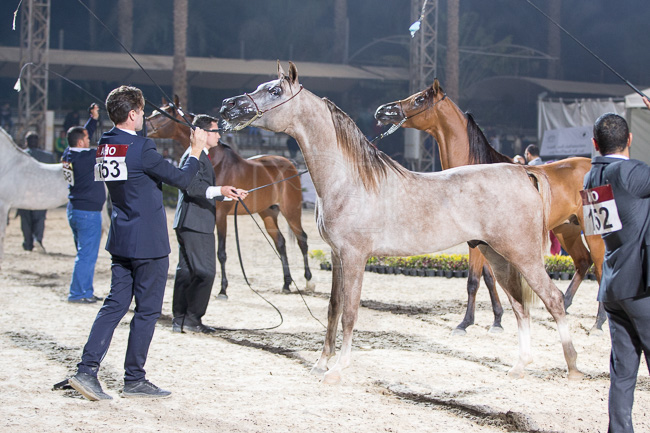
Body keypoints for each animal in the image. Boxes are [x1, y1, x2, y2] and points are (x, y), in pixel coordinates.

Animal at [145, 98, 313, 296]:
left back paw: (309, 281)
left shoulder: (220, 215)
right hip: (268, 213)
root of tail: (290, 164)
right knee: (280, 242)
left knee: (302, 239)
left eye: (160, 115)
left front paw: (223, 289)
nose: (144, 126)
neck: (216, 161)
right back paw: (286, 283)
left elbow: (221, 253)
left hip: (291, 210)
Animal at [220, 61, 583, 384]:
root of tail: (524, 172)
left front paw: (337, 369)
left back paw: (573, 368)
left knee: (553, 300)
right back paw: (519, 367)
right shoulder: (337, 256)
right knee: (521, 307)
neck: (350, 179)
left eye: (275, 90)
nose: (228, 106)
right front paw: (321, 363)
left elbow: (350, 312)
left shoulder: (355, 257)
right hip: (497, 256)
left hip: (523, 255)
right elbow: (333, 309)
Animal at [374, 80, 607, 333]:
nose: (382, 111)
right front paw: (497, 319)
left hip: (593, 233)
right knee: (583, 262)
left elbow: (474, 280)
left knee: (601, 268)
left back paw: (598, 323)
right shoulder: (482, 241)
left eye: (419, 99)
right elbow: (489, 277)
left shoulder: (476, 241)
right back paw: (564, 304)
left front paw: (465, 323)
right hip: (567, 228)